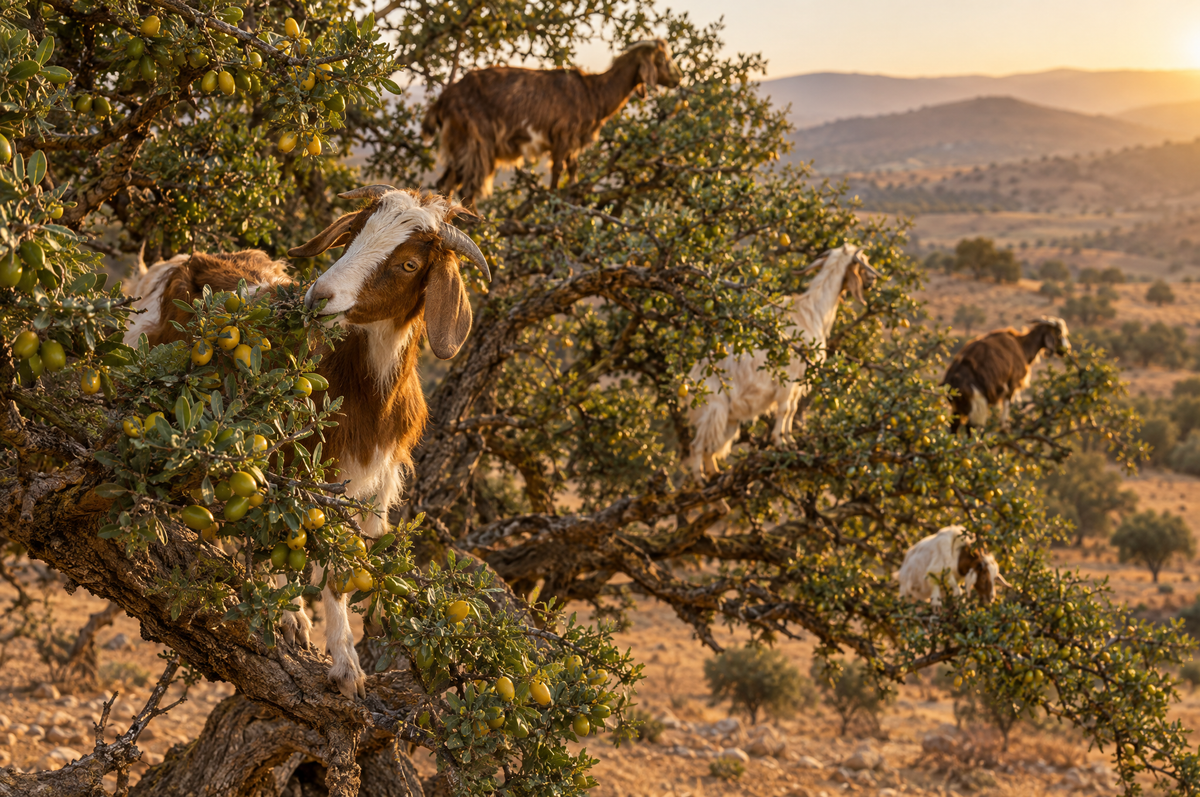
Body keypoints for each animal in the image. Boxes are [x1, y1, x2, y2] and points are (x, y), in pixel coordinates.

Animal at [122, 185, 491, 699]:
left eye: (409, 264)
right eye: (352, 236)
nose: (318, 295)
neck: (364, 387)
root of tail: (172, 263)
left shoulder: (380, 475)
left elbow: (356, 553)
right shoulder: (311, 464)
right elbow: (323, 562)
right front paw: (346, 666)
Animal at [421, 38, 683, 209]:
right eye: (662, 58)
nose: (678, 77)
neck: (594, 93)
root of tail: (443, 100)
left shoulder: (574, 140)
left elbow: (573, 167)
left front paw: (572, 195)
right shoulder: (563, 134)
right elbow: (558, 168)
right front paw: (553, 198)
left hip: (459, 141)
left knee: (447, 181)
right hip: (477, 139)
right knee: (469, 185)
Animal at [684, 244, 879, 480]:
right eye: (863, 261)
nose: (872, 279)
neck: (812, 311)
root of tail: (688, 382)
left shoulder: (799, 381)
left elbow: (793, 410)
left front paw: (790, 441)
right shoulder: (789, 377)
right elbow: (784, 409)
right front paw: (779, 443)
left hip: (728, 419)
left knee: (710, 447)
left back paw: (716, 473)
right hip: (713, 409)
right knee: (696, 445)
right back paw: (700, 480)